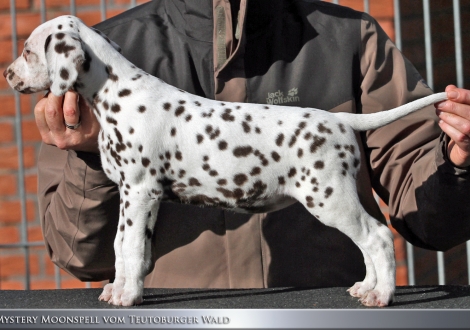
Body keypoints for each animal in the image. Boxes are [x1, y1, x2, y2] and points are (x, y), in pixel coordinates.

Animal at [4, 16, 448, 306]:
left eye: (28, 50)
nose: (7, 74)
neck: (117, 93)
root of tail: (339, 119)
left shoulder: (139, 192)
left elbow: (127, 246)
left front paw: (126, 295)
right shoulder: (144, 200)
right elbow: (130, 247)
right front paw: (124, 288)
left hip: (328, 198)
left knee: (377, 237)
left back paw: (382, 295)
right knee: (368, 242)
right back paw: (367, 287)